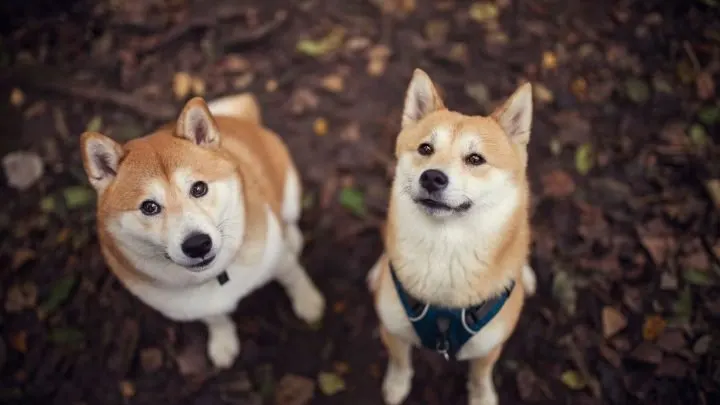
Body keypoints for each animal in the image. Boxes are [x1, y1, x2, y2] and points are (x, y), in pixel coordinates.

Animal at [80, 93, 324, 368]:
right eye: (149, 207)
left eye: (199, 188)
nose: (197, 244)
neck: (217, 275)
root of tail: (239, 119)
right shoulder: (195, 307)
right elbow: (216, 319)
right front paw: (223, 342)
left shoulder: (278, 259)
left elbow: (294, 277)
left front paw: (308, 302)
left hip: (289, 191)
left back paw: (292, 237)